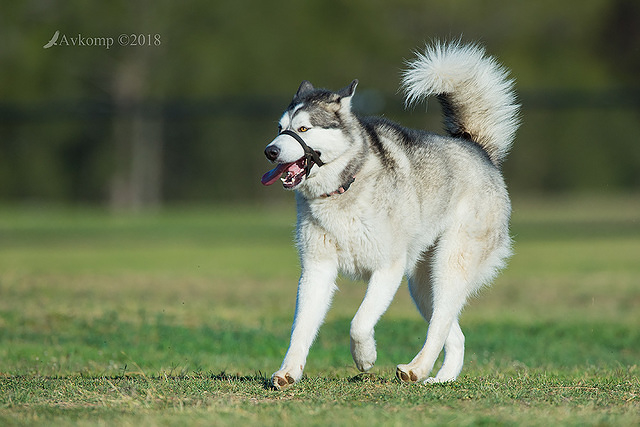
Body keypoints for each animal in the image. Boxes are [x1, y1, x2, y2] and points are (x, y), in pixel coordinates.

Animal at [260, 41, 520, 390]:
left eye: (303, 128)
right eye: (280, 128)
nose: (270, 151)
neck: (344, 189)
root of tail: (478, 149)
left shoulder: (387, 268)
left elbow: (359, 322)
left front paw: (365, 357)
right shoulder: (317, 269)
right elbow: (301, 328)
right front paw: (288, 371)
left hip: (449, 266)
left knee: (440, 323)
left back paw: (418, 369)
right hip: (422, 285)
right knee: (451, 329)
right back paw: (440, 378)